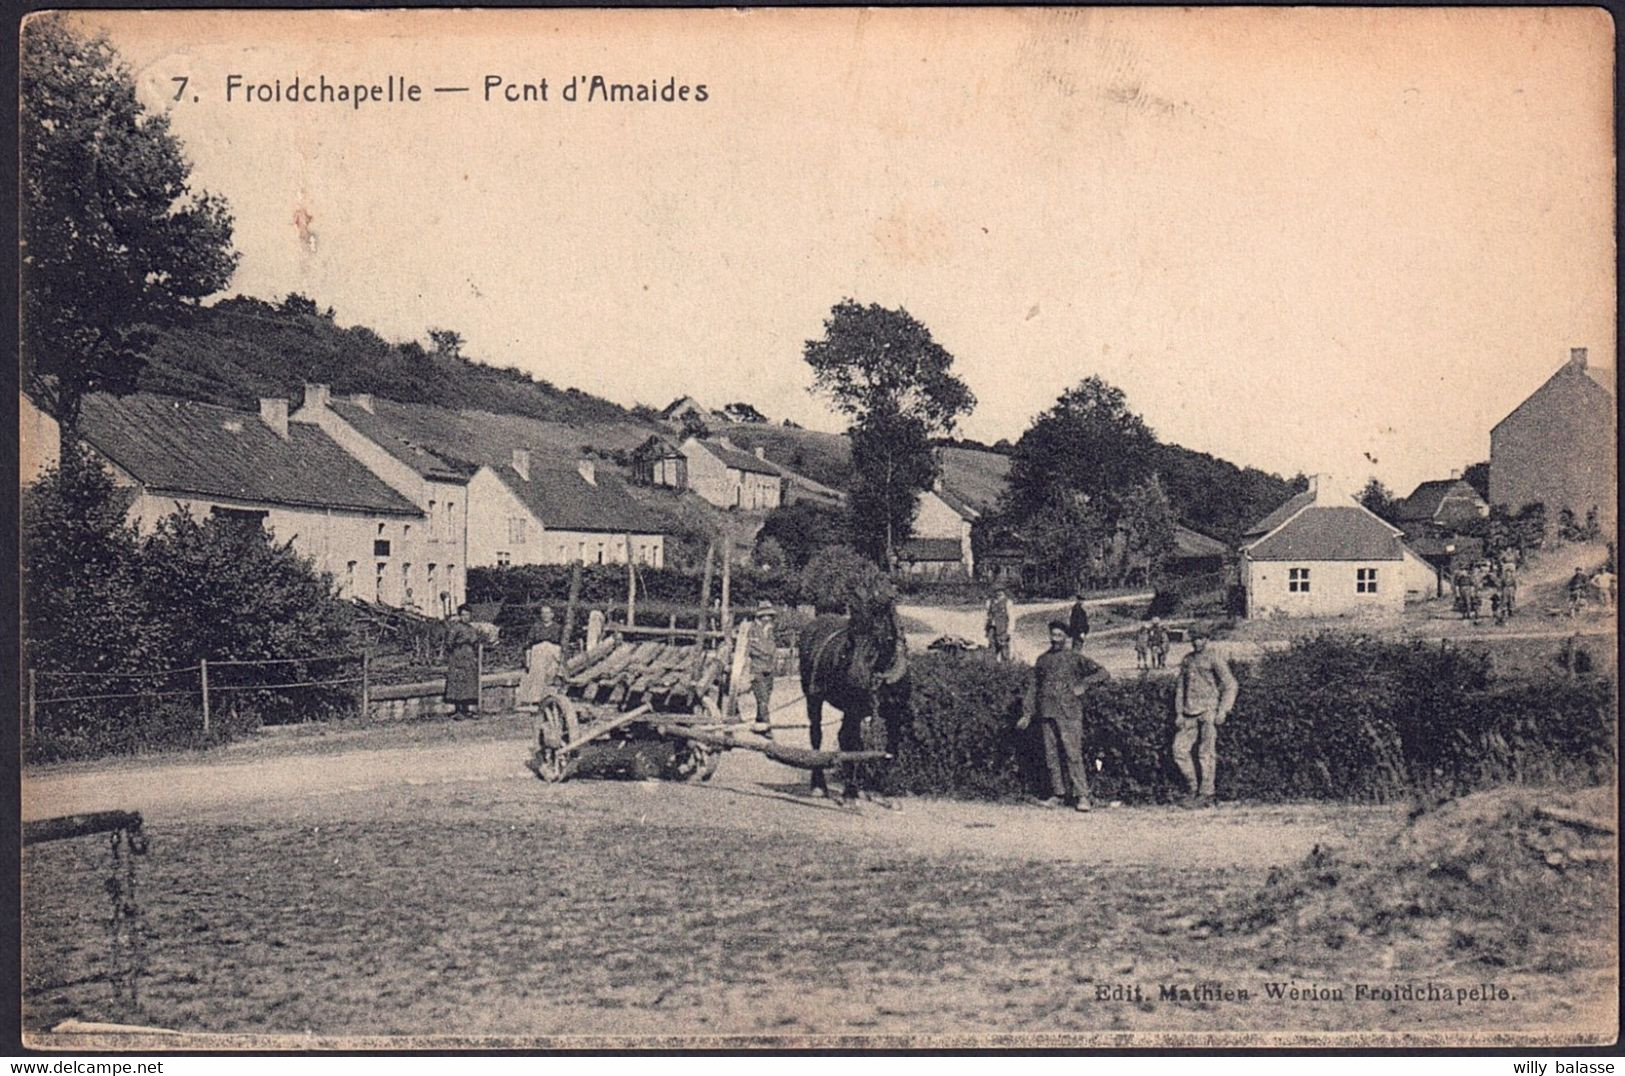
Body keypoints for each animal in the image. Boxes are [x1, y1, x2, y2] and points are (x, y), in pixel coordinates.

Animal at [802, 594, 916, 806]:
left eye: (878, 637)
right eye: (851, 637)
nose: (854, 680)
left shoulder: (895, 714)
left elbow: (890, 749)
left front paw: (882, 791)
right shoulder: (853, 710)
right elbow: (851, 744)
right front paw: (849, 792)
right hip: (814, 698)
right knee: (818, 736)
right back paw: (820, 786)